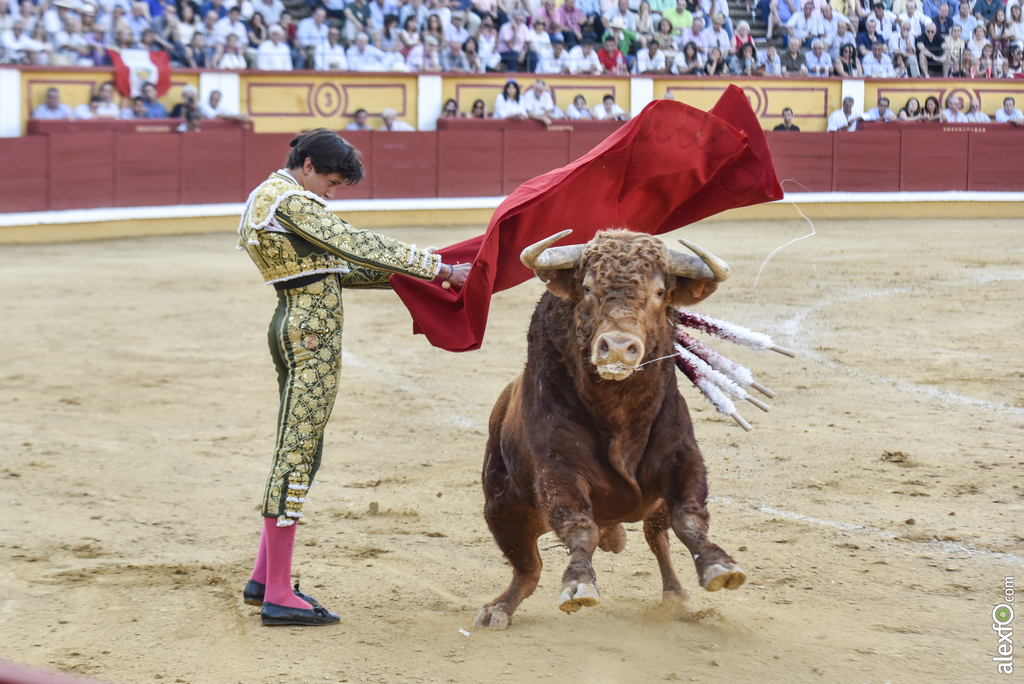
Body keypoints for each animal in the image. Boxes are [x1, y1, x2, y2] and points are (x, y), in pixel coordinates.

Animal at [475, 229, 749, 630]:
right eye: (587, 288)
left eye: (660, 292)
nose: (618, 347)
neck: (618, 410)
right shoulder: (558, 469)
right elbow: (579, 526)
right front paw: (578, 585)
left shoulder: (681, 456)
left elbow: (688, 517)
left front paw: (719, 565)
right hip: (501, 509)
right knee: (529, 568)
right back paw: (498, 609)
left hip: (651, 508)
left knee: (657, 539)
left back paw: (676, 595)